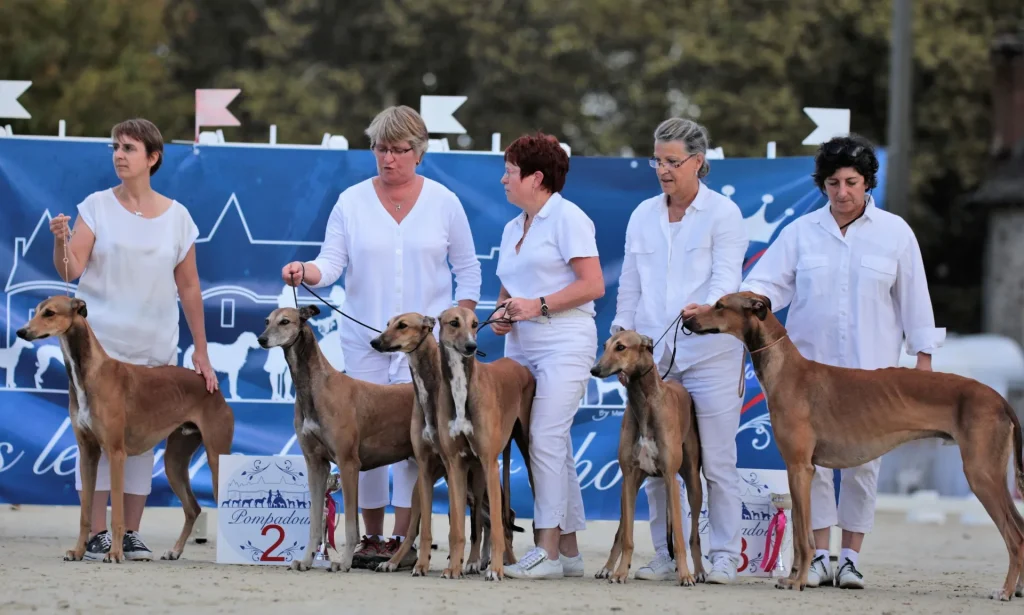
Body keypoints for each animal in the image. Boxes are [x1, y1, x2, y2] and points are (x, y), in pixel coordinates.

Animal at [16, 296, 233, 560]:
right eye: (37, 310)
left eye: (49, 313)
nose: (21, 331)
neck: (89, 373)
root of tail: (212, 387)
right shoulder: (88, 453)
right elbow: (85, 513)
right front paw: (78, 551)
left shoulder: (116, 454)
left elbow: (118, 514)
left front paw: (115, 553)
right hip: (174, 462)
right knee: (193, 507)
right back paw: (175, 551)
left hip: (216, 458)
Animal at [260, 304, 419, 573]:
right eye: (267, 321)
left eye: (285, 321)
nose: (261, 339)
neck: (316, 386)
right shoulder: (316, 464)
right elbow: (315, 521)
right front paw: (306, 560)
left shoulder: (348, 464)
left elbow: (352, 524)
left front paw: (343, 562)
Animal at [368, 311, 524, 577]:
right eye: (388, 324)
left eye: (403, 325)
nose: (375, 342)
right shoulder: (429, 466)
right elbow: (427, 529)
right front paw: (422, 563)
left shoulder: (457, 467)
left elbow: (463, 526)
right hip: (429, 487)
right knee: (417, 527)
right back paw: (396, 560)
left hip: (481, 480)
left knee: (499, 519)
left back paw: (497, 560)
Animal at [436, 306, 540, 581]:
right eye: (453, 323)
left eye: (474, 323)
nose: (472, 346)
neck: (461, 387)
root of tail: (517, 364)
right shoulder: (456, 466)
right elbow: (458, 529)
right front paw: (454, 568)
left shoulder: (489, 461)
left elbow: (496, 526)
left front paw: (496, 570)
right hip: (478, 473)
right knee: (487, 521)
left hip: (524, 453)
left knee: (507, 518)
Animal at [589, 331, 708, 585]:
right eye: (605, 345)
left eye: (621, 347)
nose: (595, 369)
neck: (645, 404)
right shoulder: (628, 477)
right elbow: (626, 536)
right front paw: (620, 572)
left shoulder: (671, 477)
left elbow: (680, 539)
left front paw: (685, 575)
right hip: (630, 488)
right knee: (621, 530)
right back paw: (607, 568)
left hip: (693, 484)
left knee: (693, 534)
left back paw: (699, 571)